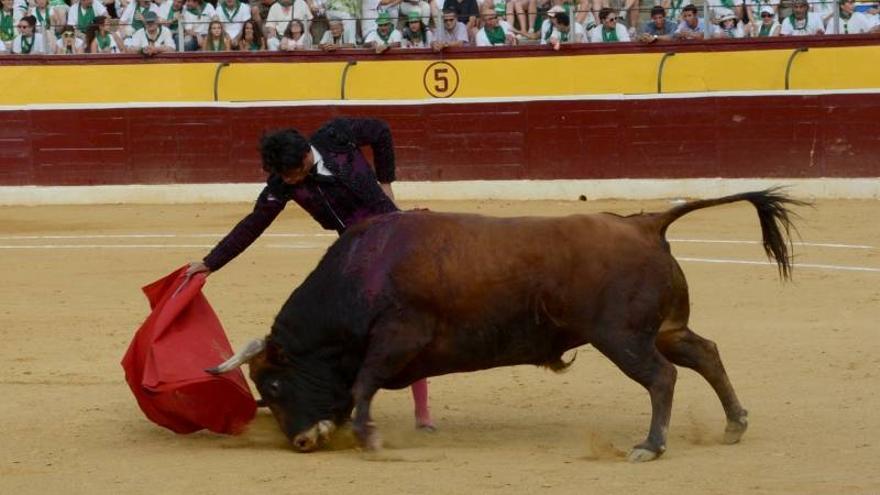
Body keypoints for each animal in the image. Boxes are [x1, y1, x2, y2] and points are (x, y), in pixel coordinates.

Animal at [210, 189, 808, 462]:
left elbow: (362, 384)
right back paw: (734, 424)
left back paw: (650, 445)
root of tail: (646, 223)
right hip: (663, 329)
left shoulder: (395, 337)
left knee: (663, 377)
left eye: (274, 384)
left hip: (622, 338)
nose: (300, 441)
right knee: (705, 353)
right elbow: (362, 386)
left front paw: (369, 437)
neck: (362, 276)